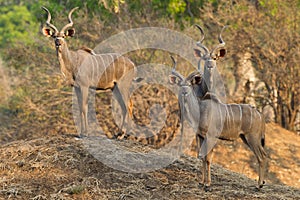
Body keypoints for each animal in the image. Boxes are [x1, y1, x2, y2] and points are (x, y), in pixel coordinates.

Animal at [40, 6, 137, 138]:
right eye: (54, 36)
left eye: (63, 36)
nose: (58, 43)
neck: (73, 61)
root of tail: (132, 64)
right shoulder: (76, 87)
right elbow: (80, 107)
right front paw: (81, 132)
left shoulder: (84, 86)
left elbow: (84, 107)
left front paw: (85, 133)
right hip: (115, 88)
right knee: (124, 106)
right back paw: (119, 134)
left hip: (123, 86)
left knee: (128, 105)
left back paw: (125, 135)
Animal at [169, 55, 268, 189]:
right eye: (180, 85)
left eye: (189, 84)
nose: (184, 92)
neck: (200, 111)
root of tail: (260, 114)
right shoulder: (201, 136)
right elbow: (202, 157)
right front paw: (202, 181)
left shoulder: (211, 136)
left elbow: (208, 158)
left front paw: (207, 183)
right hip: (245, 138)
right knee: (262, 155)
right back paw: (261, 183)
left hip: (253, 137)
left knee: (261, 156)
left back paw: (259, 185)